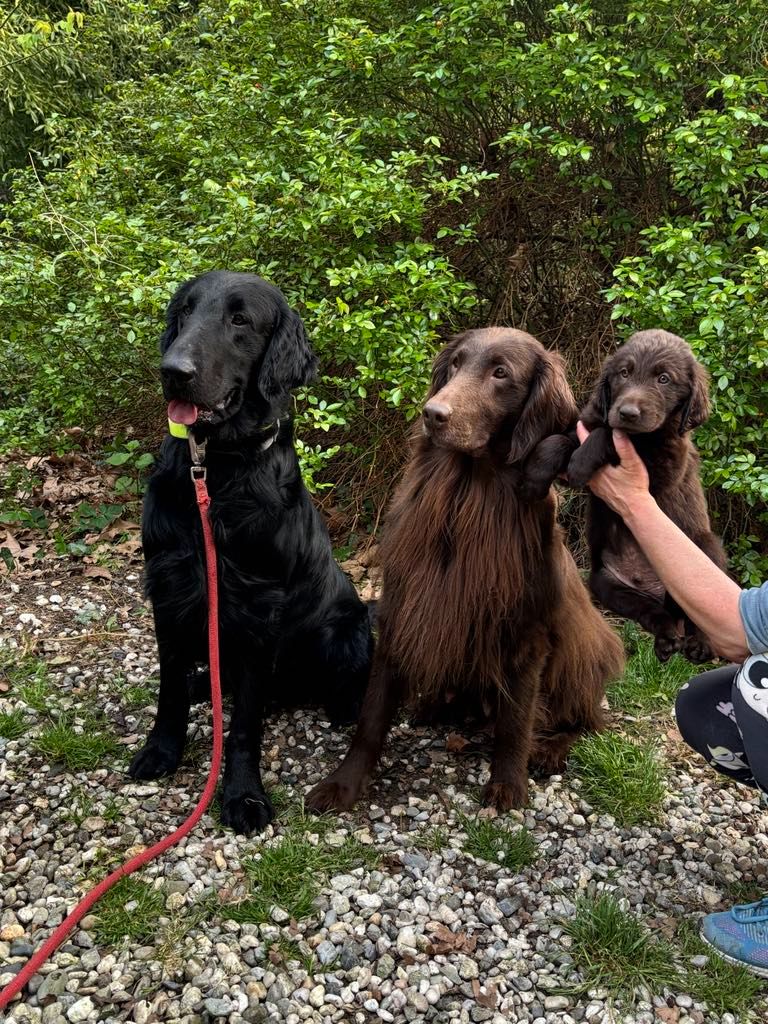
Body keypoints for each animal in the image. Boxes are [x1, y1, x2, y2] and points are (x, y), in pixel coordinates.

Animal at [128, 270, 372, 831]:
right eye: (185, 311)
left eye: (240, 319)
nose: (173, 370)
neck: (217, 468)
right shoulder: (168, 588)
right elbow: (169, 689)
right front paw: (162, 750)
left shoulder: (258, 609)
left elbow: (243, 727)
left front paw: (243, 795)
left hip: (350, 627)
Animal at [307, 329, 626, 815]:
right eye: (455, 364)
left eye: (501, 373)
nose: (433, 414)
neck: (466, 496)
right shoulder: (403, 608)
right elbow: (372, 714)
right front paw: (344, 783)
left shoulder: (528, 633)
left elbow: (516, 720)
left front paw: (507, 784)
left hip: (583, 649)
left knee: (586, 720)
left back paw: (550, 748)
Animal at [569, 329, 729, 663]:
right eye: (624, 373)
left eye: (664, 379)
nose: (627, 413)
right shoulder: (588, 420)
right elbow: (562, 439)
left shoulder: (664, 461)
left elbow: (619, 436)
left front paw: (580, 463)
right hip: (607, 584)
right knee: (654, 613)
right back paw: (666, 641)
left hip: (705, 549)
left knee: (698, 616)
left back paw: (700, 645)